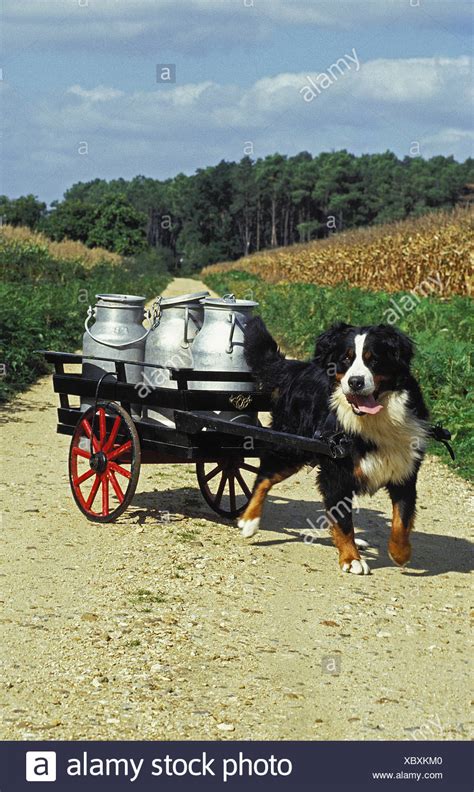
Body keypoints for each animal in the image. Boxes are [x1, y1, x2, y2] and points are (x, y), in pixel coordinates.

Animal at [239, 316, 428, 576]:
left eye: (374, 359)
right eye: (346, 359)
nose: (356, 382)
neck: (373, 423)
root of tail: (298, 368)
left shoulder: (404, 471)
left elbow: (402, 519)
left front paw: (400, 553)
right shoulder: (337, 474)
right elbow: (344, 522)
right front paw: (351, 558)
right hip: (291, 448)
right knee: (264, 478)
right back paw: (249, 521)